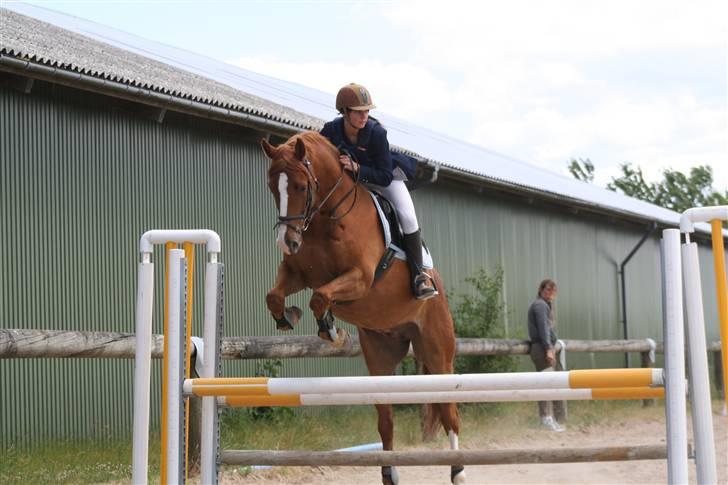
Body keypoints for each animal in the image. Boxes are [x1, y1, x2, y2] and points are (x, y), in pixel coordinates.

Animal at [262, 132, 466, 484]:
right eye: (273, 187)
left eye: (301, 187)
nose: (286, 243)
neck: (326, 218)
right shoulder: (297, 273)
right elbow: (275, 297)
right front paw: (291, 317)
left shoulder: (360, 278)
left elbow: (320, 297)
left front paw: (331, 330)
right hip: (379, 356)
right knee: (386, 419)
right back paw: (389, 473)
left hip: (438, 351)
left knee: (448, 410)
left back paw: (458, 471)